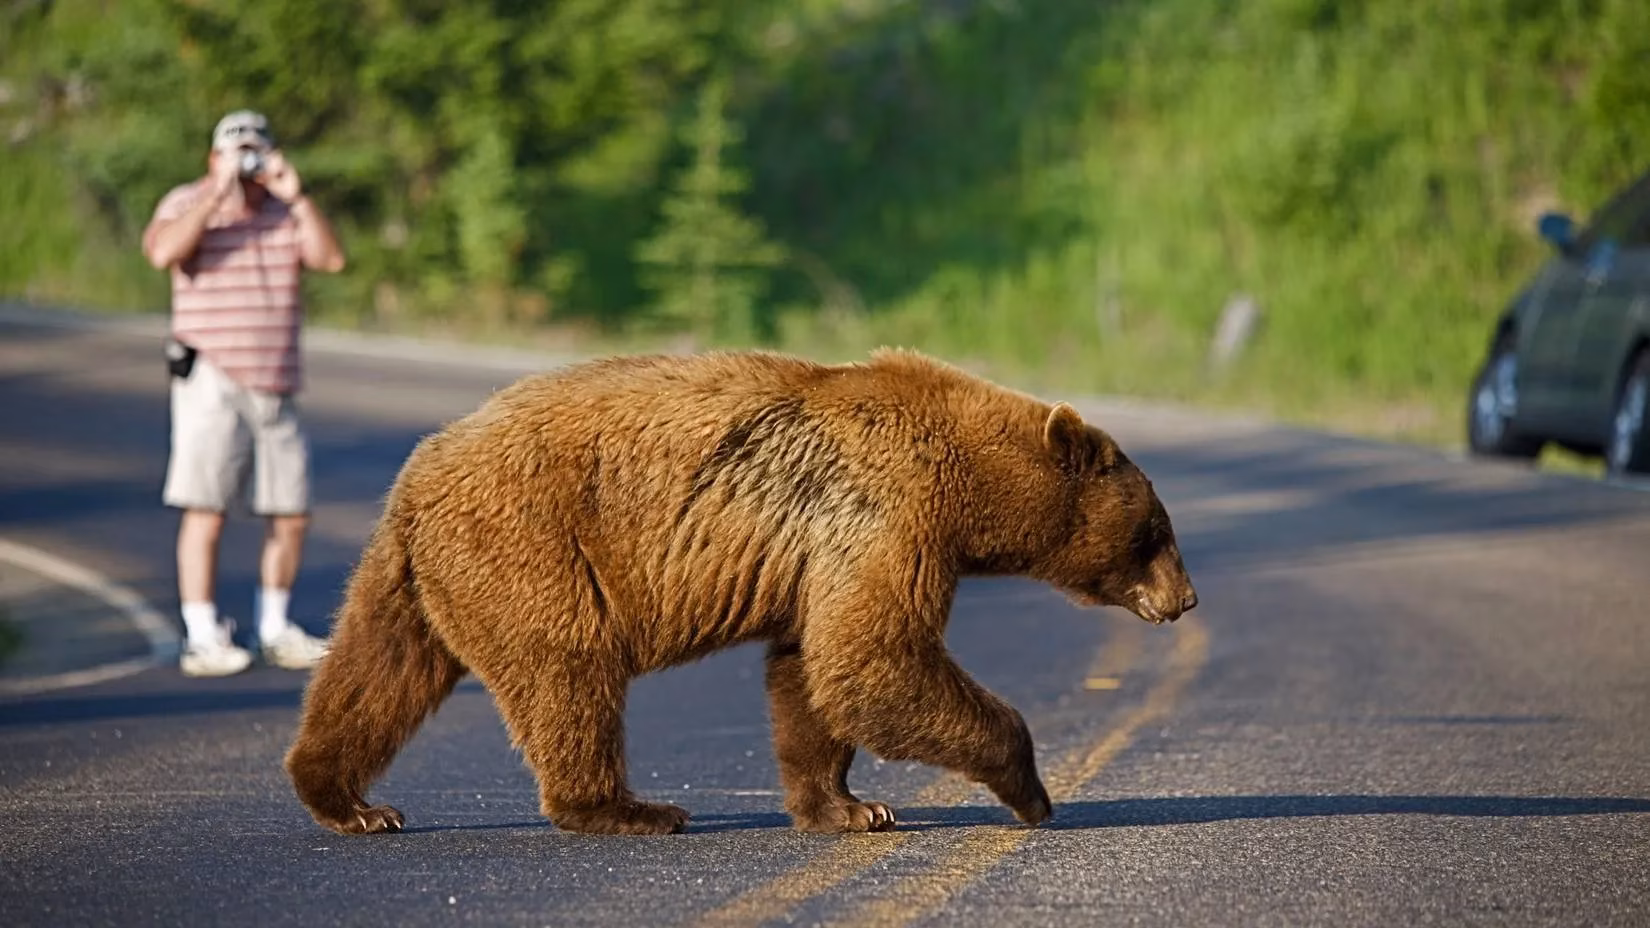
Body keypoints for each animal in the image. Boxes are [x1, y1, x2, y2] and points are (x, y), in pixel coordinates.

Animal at [285, 348, 1197, 836]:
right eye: (1156, 531)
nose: (1185, 599)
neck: (971, 485)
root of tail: (417, 474)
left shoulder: (821, 554)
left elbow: (813, 672)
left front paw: (849, 806)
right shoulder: (886, 511)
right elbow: (874, 656)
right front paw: (1031, 790)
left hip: (420, 573)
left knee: (378, 672)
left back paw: (349, 799)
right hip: (532, 547)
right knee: (568, 671)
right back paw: (628, 807)